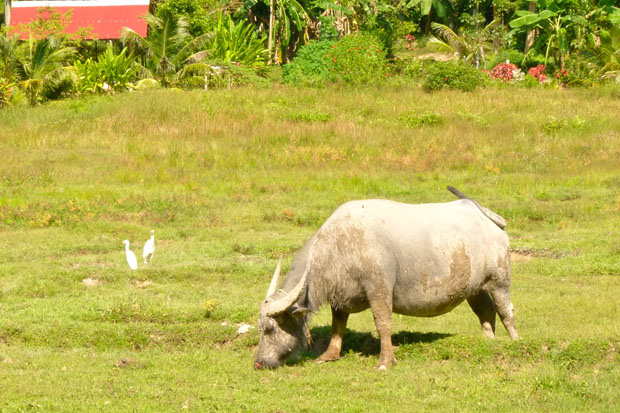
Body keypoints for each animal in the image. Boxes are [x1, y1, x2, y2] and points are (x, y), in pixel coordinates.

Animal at [253, 187, 520, 370]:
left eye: (269, 329)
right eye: (260, 328)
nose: (258, 363)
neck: (337, 247)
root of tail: (486, 216)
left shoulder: (379, 289)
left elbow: (383, 323)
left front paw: (385, 360)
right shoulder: (340, 295)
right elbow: (338, 325)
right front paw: (329, 355)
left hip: (500, 280)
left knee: (506, 311)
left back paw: (515, 341)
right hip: (475, 288)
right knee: (486, 311)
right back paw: (488, 343)